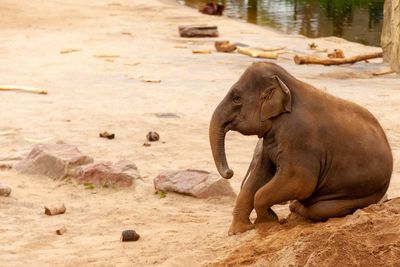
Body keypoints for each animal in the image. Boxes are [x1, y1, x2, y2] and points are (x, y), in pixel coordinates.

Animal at [211, 61, 392, 236]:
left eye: (236, 98)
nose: (230, 172)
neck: (289, 86)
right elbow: (257, 177)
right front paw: (239, 231)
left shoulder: (300, 140)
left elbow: (300, 181)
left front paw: (268, 223)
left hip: (361, 195)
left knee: (320, 209)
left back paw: (295, 207)